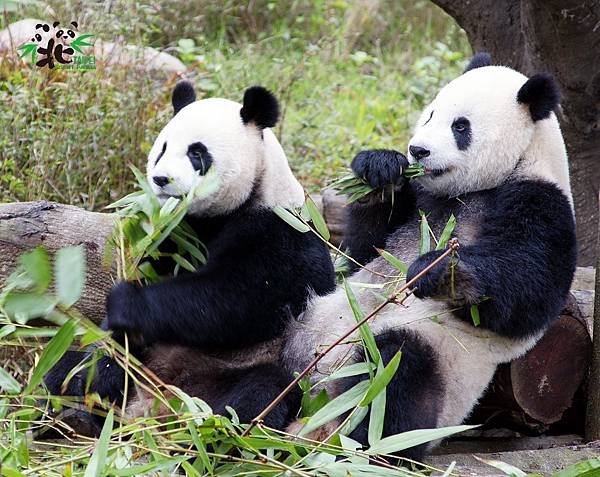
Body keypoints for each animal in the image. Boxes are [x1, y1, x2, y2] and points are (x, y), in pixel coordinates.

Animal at [45, 80, 338, 430]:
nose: (161, 179)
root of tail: (158, 401)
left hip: (240, 368)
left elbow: (235, 299)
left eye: (197, 153)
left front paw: (125, 302)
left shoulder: (280, 230)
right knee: (67, 366)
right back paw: (79, 402)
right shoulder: (176, 231)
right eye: (163, 148)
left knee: (260, 393)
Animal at [284, 54, 580, 460]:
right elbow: (362, 250)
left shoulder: (541, 202)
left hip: (433, 363)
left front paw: (439, 271)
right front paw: (379, 170)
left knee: (391, 379)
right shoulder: (420, 200)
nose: (418, 150)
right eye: (430, 114)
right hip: (305, 324)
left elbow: (526, 290)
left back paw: (357, 446)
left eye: (460, 126)